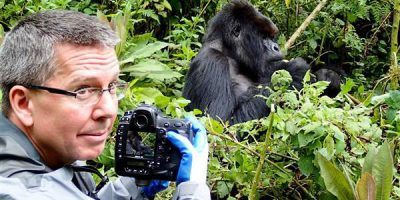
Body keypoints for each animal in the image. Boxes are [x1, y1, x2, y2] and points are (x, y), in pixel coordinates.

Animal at [183, 0, 340, 125]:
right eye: (264, 37)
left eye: (272, 37)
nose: (276, 47)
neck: (230, 53)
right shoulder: (212, 61)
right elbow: (219, 123)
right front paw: (294, 72)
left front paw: (329, 78)